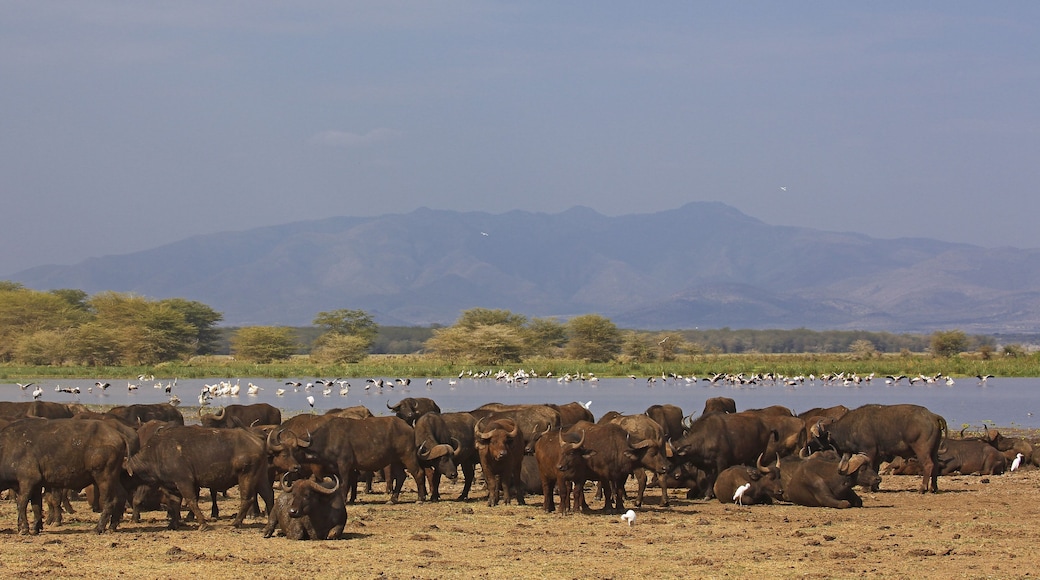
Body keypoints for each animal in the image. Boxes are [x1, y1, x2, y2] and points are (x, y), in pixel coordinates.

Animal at [0, 418, 132, 534]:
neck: (8, 448)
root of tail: (119, 435)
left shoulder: (27, 482)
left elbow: (21, 504)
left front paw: (24, 528)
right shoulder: (36, 485)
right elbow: (36, 505)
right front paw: (35, 527)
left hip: (104, 477)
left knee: (109, 500)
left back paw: (98, 528)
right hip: (114, 477)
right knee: (121, 495)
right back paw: (112, 526)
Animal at [125, 423, 274, 530]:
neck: (157, 452)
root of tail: (258, 440)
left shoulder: (184, 481)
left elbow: (191, 501)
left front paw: (203, 524)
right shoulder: (171, 486)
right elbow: (174, 503)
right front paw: (173, 524)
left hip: (246, 475)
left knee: (247, 499)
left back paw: (235, 523)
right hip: (261, 477)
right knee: (269, 495)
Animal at [809, 403, 947, 493]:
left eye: (818, 437)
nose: (814, 447)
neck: (851, 426)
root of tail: (932, 416)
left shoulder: (869, 451)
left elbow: (869, 466)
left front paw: (866, 488)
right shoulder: (878, 455)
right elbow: (875, 468)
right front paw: (875, 487)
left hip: (922, 450)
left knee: (928, 465)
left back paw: (922, 488)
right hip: (934, 450)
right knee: (935, 465)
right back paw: (933, 488)